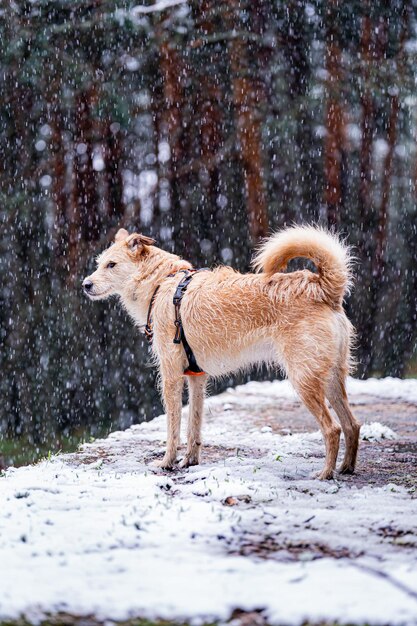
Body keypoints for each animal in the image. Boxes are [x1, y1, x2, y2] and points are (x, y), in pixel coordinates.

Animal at [83, 225, 360, 478]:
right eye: (99, 264)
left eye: (111, 265)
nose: (85, 284)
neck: (162, 283)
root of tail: (321, 286)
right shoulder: (196, 377)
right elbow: (194, 425)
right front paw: (190, 461)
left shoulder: (171, 376)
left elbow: (173, 426)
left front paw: (167, 462)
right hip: (331, 378)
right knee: (352, 424)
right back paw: (346, 468)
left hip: (303, 380)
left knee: (333, 429)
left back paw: (325, 474)